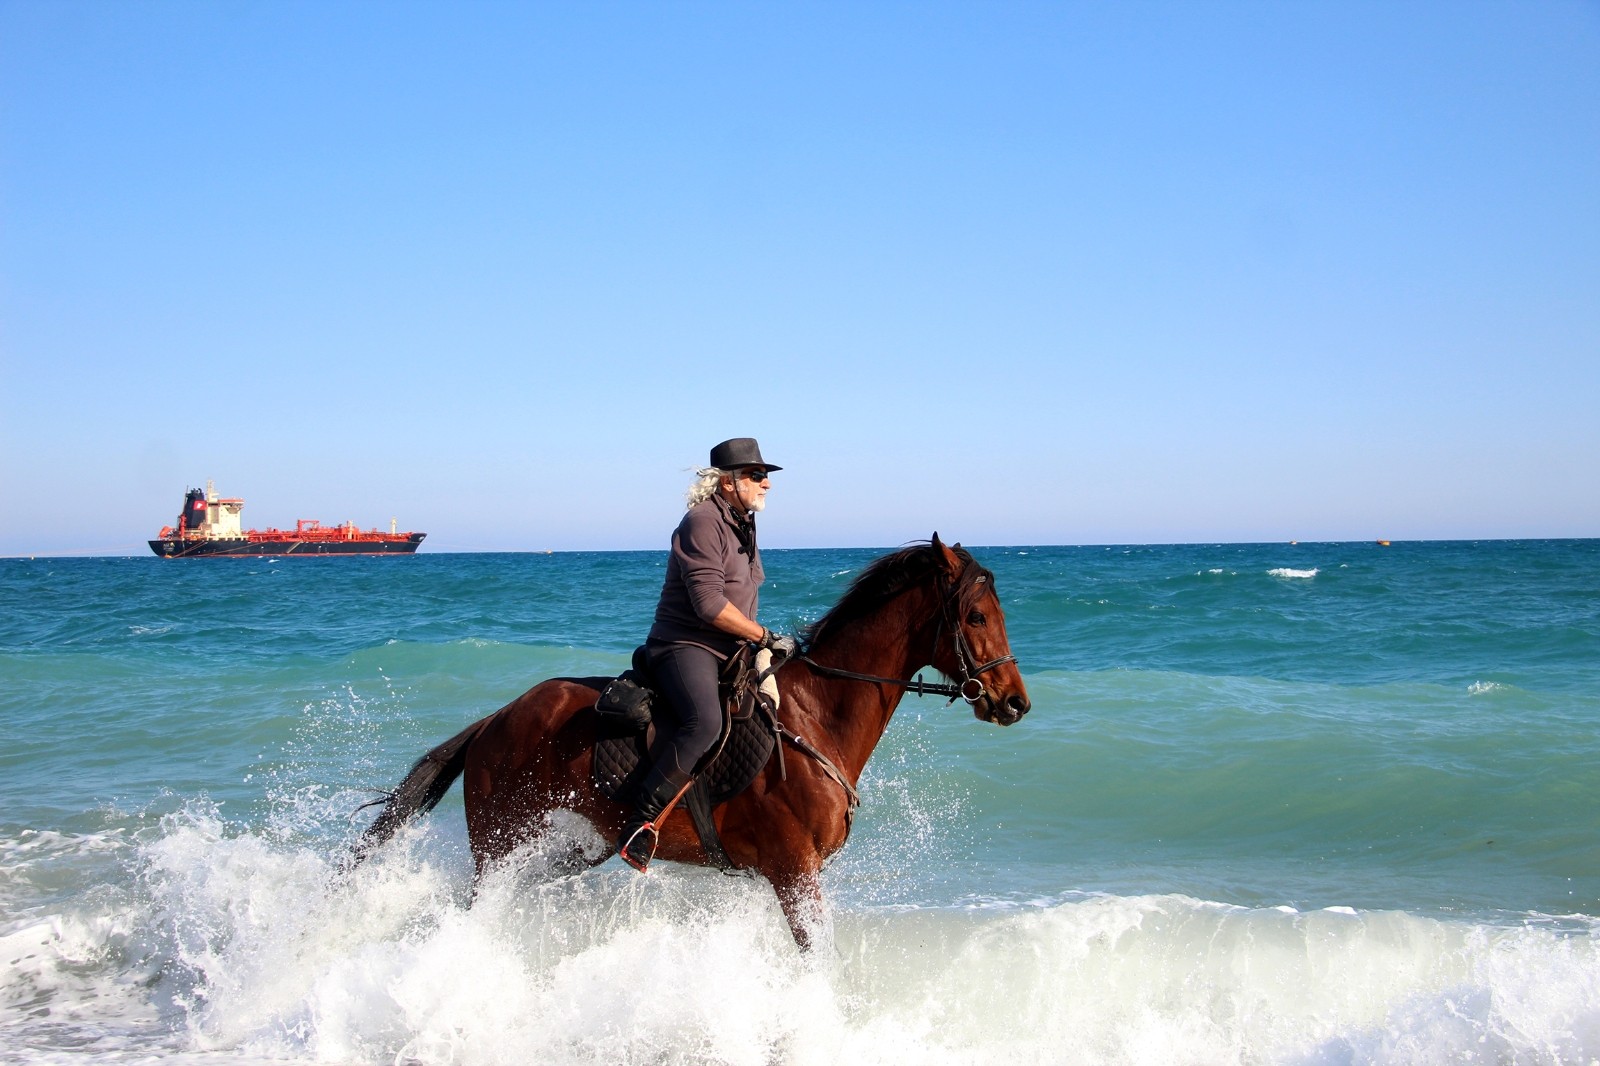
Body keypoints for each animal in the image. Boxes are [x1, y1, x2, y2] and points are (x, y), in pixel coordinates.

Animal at [347, 534, 1036, 941]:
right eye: (977, 616)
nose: (1014, 702)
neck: (815, 716)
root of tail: (496, 719)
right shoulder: (794, 875)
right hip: (498, 844)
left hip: (567, 847)